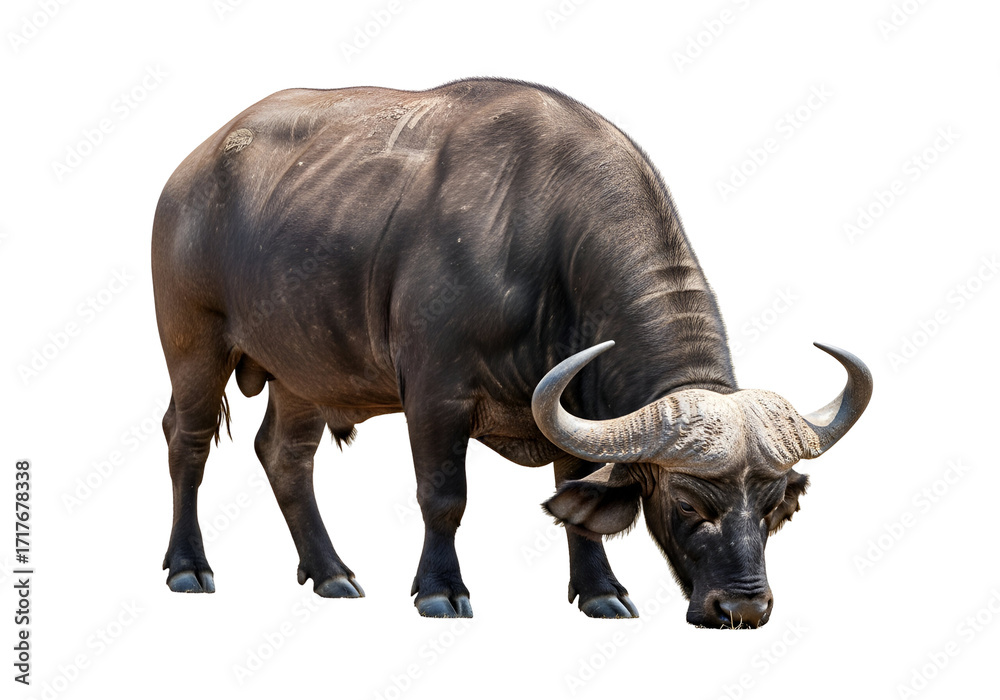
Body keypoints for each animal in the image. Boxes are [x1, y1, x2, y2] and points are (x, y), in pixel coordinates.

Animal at [152, 78, 872, 627]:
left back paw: (331, 573)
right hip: (192, 343)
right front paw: (440, 590)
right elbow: (443, 496)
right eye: (688, 504)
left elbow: (577, 502)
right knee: (187, 441)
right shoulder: (435, 395)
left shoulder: (573, 408)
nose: (743, 609)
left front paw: (601, 592)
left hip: (304, 371)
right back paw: (189, 567)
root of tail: (191, 170)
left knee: (285, 456)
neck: (546, 242)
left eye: (775, 508)